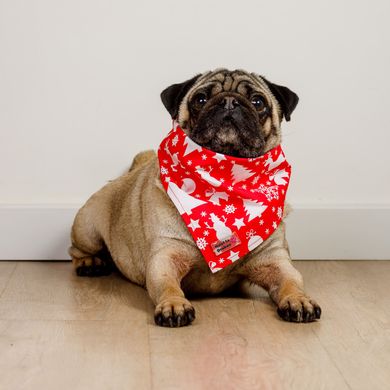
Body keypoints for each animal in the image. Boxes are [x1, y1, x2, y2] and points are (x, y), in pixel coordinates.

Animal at [68, 69, 322, 326]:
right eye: (200, 99)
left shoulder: (275, 261)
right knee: (76, 250)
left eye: (258, 102)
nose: (229, 102)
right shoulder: (165, 258)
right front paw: (173, 305)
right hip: (87, 229)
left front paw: (299, 299)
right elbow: (168, 286)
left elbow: (292, 281)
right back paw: (90, 263)